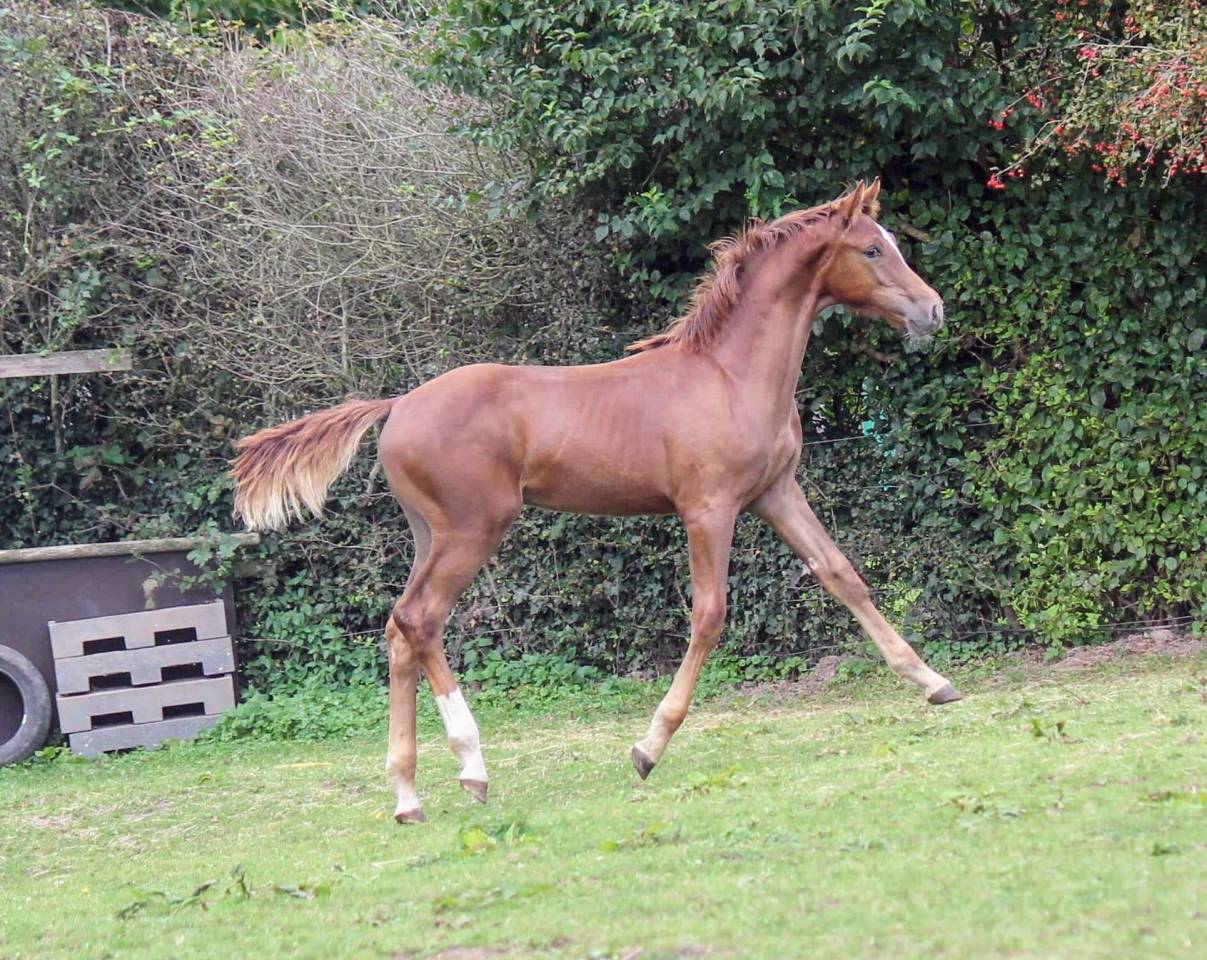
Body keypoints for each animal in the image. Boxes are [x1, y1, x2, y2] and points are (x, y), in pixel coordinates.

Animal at [230, 179, 962, 824]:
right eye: (871, 250)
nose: (932, 311)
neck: (728, 374)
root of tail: (397, 405)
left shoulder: (776, 494)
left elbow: (842, 575)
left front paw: (932, 682)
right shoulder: (709, 508)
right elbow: (710, 615)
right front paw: (647, 747)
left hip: (429, 535)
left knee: (397, 633)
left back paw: (408, 796)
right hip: (473, 529)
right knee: (419, 620)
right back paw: (472, 768)